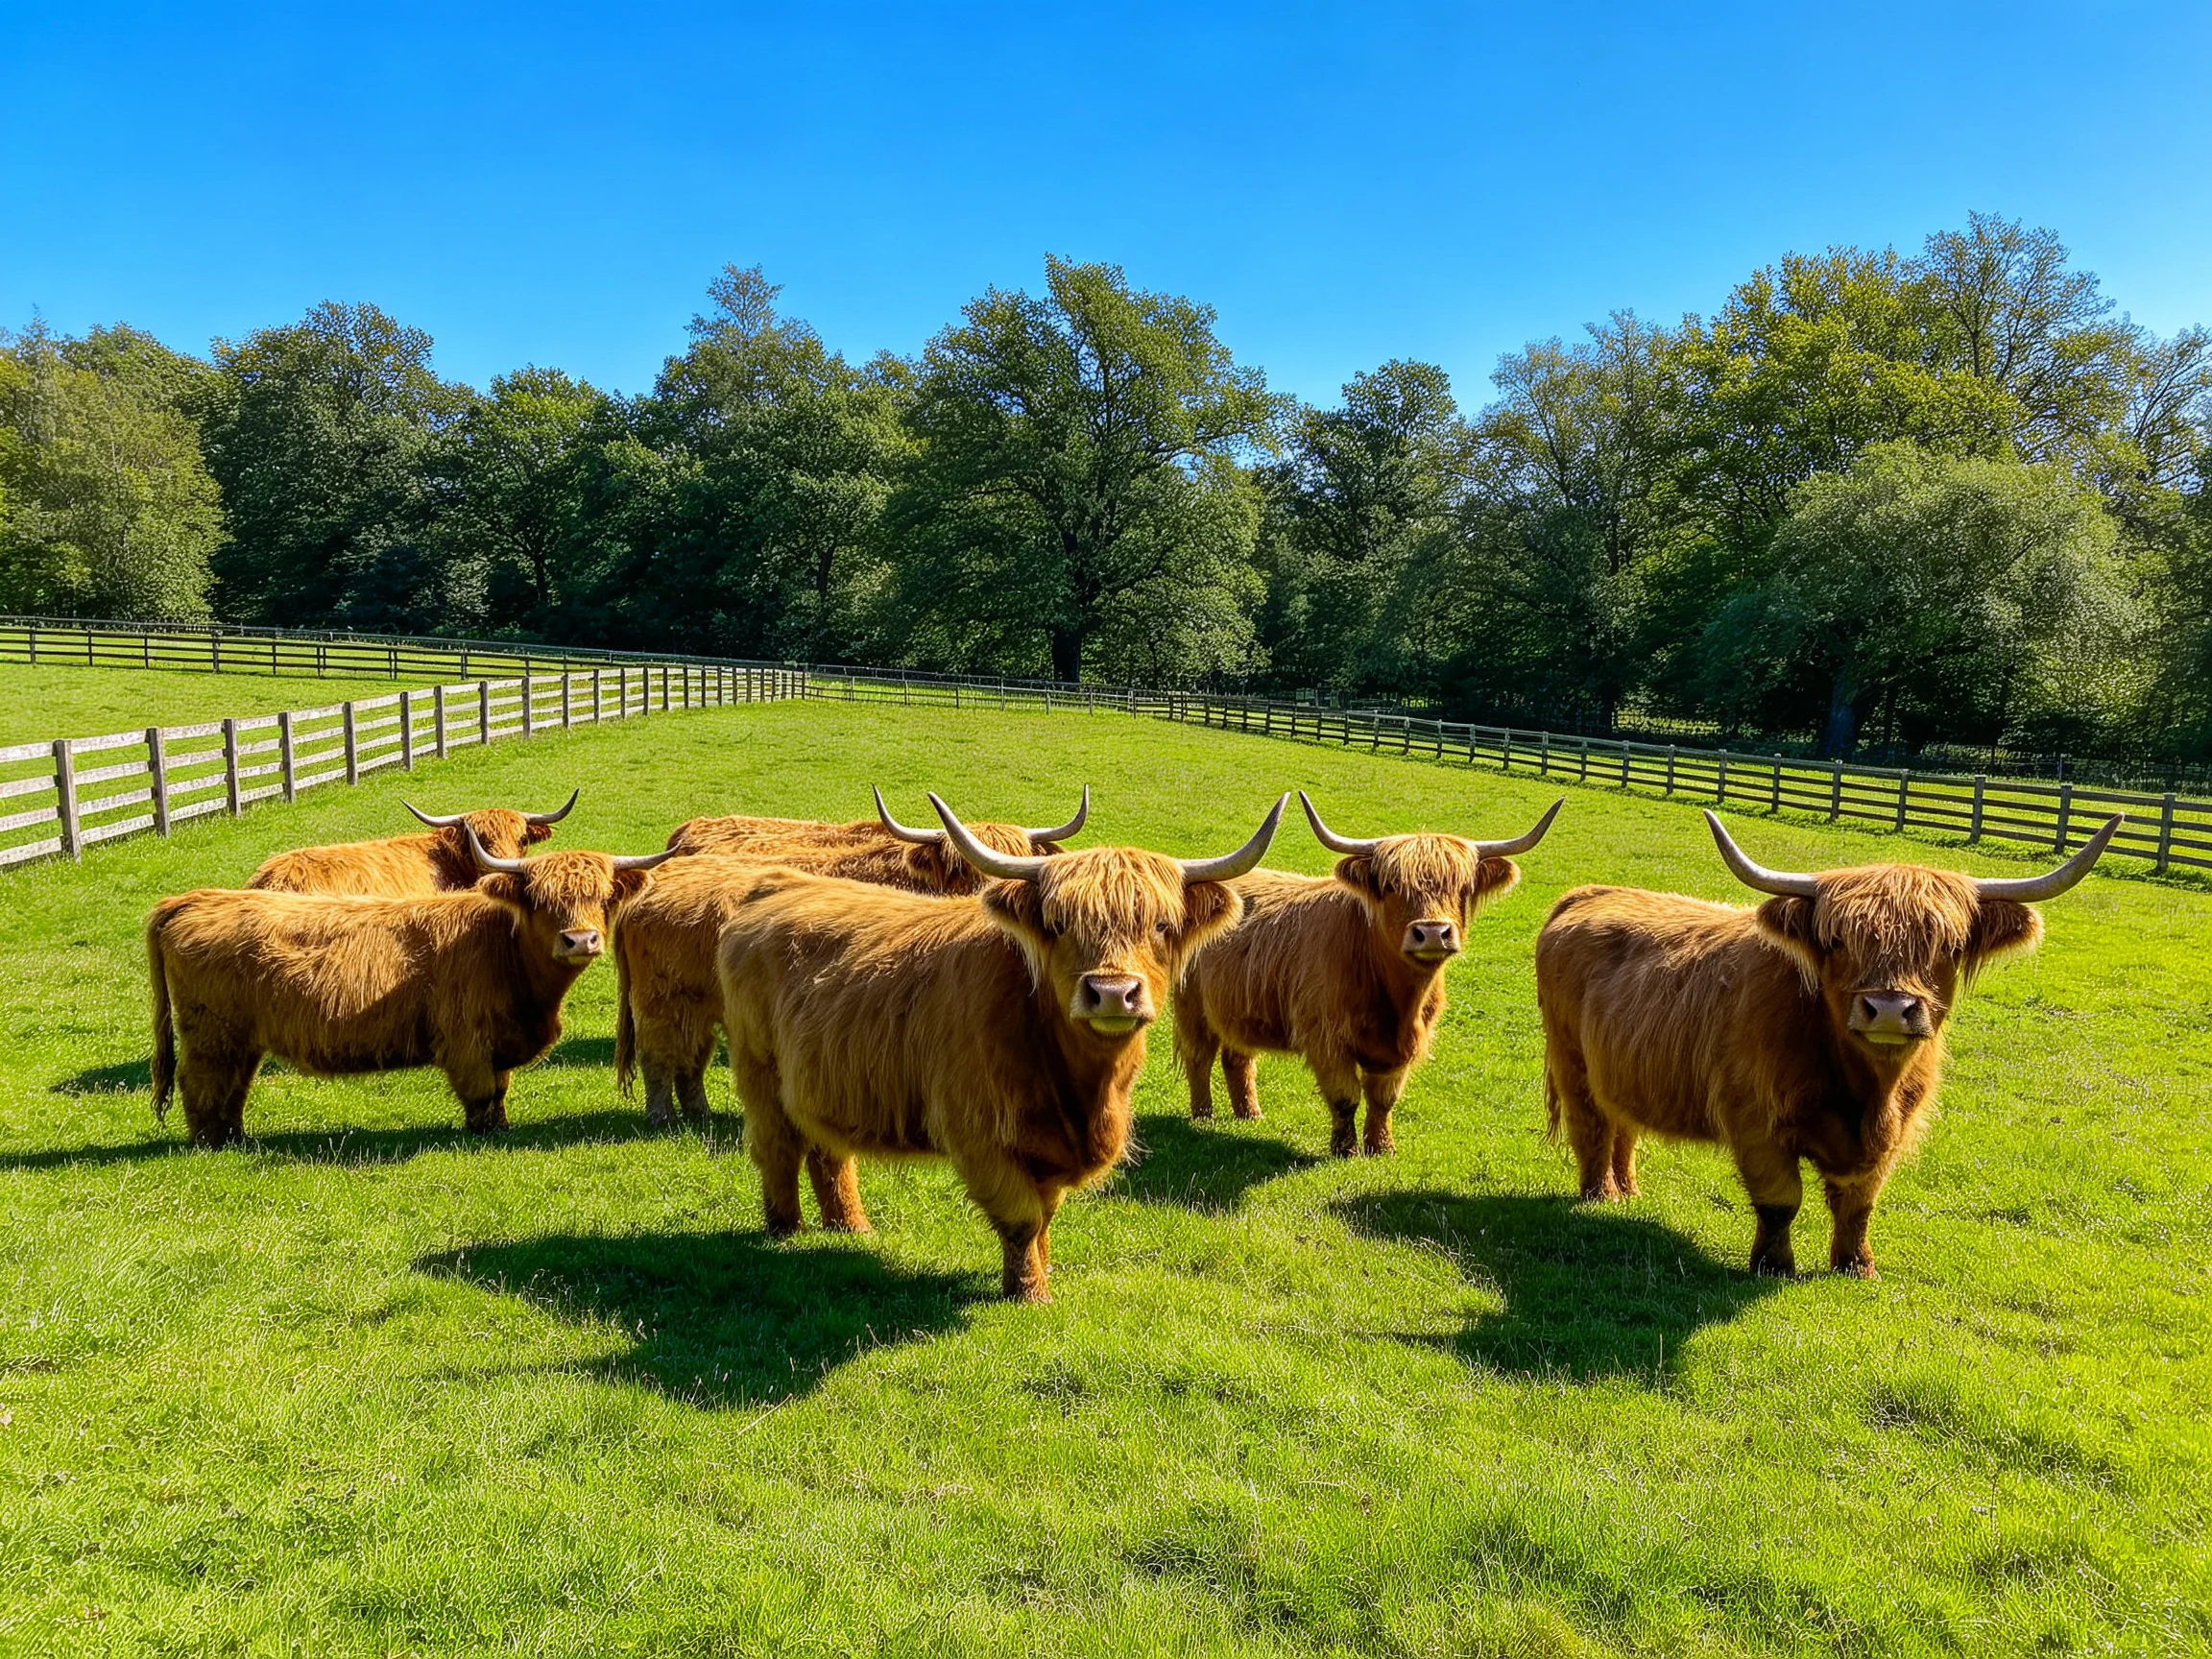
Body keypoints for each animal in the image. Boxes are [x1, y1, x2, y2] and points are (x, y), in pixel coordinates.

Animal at [149, 826, 674, 1146]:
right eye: (541, 900)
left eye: (602, 897)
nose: (580, 940)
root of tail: (192, 899)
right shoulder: (465, 1040)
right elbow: (482, 1093)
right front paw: (485, 1135)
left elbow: (500, 1090)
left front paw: (502, 1127)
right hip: (211, 1035)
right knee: (200, 1083)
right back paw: (210, 1143)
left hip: (241, 1039)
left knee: (234, 1085)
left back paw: (235, 1136)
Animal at [613, 788, 1088, 1126]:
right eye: (961, 869)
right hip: (660, 1000)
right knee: (657, 1056)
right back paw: (661, 1117)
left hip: (696, 1004)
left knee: (691, 1057)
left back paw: (699, 1113)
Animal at [715, 793, 1287, 1301]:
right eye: (1058, 925)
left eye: (1162, 925)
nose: (1112, 992)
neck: (1082, 1088)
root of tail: (775, 885)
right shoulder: (979, 1132)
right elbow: (1021, 1218)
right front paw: (1030, 1293)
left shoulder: (1048, 1147)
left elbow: (1046, 1214)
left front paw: (1041, 1272)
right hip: (759, 1071)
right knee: (777, 1147)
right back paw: (786, 1230)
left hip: (820, 1079)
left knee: (828, 1151)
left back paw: (851, 1228)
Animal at [1173, 793, 1563, 1157]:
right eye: (1391, 887)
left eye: (1463, 888)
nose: (1432, 932)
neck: (1399, 1002)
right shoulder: (1326, 1039)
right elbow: (1345, 1096)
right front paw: (1345, 1150)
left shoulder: (1398, 1051)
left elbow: (1383, 1099)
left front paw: (1382, 1147)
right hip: (1192, 1007)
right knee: (1199, 1057)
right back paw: (1203, 1115)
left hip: (1236, 1007)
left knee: (1237, 1058)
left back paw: (1250, 1114)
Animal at [1535, 811, 2120, 1278]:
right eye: (1838, 941)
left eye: (1949, 946)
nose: (1890, 1009)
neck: (1866, 1093)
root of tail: (1588, 894)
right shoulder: (1755, 1121)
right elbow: (1780, 1200)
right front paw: (1773, 1266)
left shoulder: (1892, 1134)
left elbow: (1859, 1203)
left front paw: (1857, 1267)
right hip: (1570, 1059)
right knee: (1591, 1125)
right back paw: (1599, 1196)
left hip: (1620, 1066)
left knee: (1623, 1125)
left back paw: (1628, 1193)